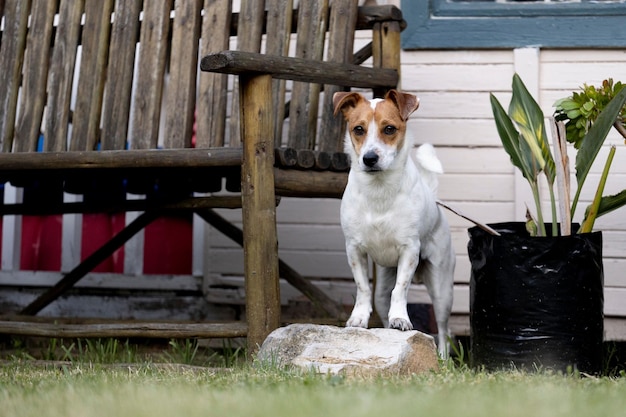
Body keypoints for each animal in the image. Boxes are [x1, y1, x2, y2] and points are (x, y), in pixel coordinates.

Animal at [332, 89, 454, 356]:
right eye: (358, 129)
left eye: (389, 129)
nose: (369, 158)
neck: (379, 191)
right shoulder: (354, 249)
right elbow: (362, 287)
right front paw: (358, 318)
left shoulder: (409, 250)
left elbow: (402, 288)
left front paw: (400, 317)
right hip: (382, 290)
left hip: (442, 289)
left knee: (444, 329)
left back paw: (442, 358)